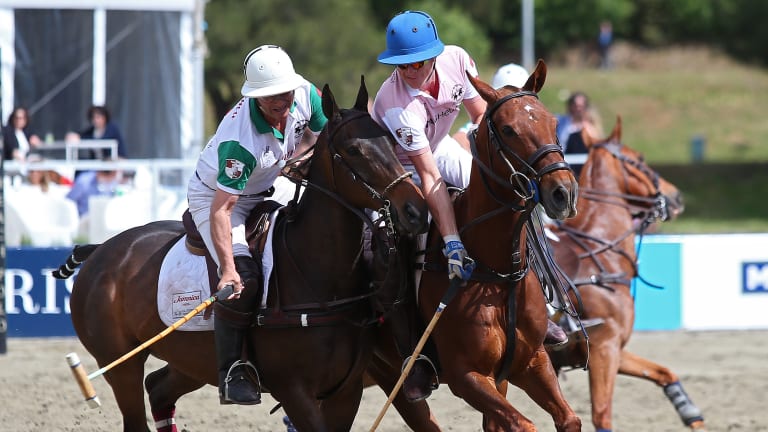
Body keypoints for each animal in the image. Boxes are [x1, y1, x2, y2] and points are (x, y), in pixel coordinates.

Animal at [60, 78, 428, 432]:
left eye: (391, 141)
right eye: (353, 149)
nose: (416, 210)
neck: (320, 278)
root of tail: (100, 250)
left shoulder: (345, 391)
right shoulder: (295, 391)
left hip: (192, 360)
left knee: (159, 387)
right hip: (120, 365)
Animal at [368, 60, 580, 432]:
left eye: (553, 123)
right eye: (508, 130)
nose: (563, 193)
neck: (499, 272)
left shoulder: (528, 363)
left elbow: (568, 418)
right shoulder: (466, 376)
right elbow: (524, 424)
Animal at [544, 116, 704, 430]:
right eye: (639, 159)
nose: (676, 196)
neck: (601, 254)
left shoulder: (616, 347)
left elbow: (664, 373)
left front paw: (693, 416)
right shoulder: (604, 346)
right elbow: (602, 414)